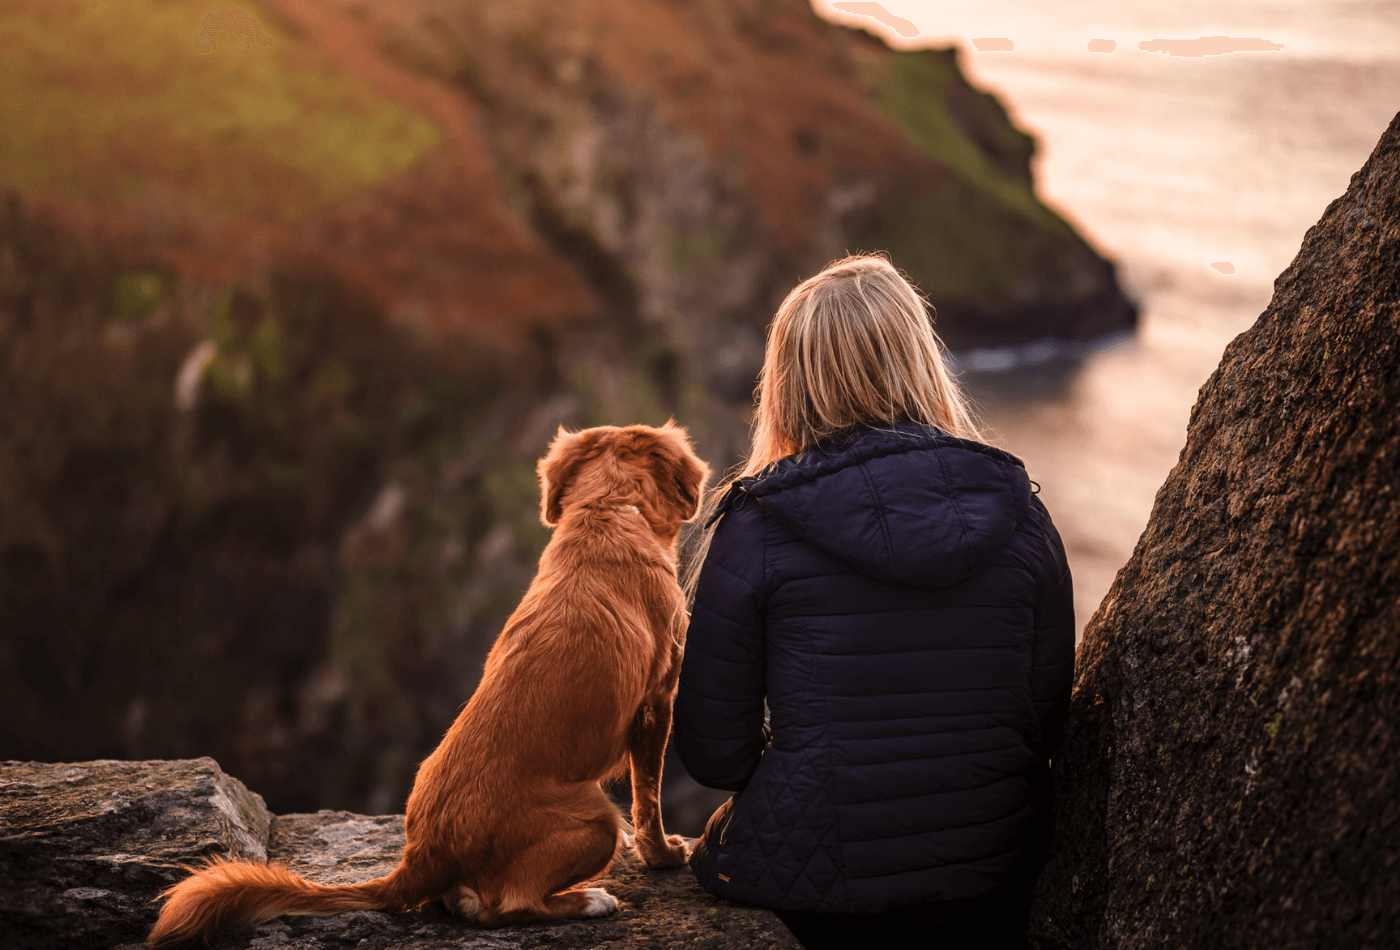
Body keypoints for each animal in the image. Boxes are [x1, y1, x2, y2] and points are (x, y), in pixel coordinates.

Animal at [150, 422, 711, 945]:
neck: (607, 509)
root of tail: (423, 855)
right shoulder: (658, 701)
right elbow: (649, 796)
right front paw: (664, 856)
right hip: (596, 819)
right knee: (509, 905)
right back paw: (588, 900)